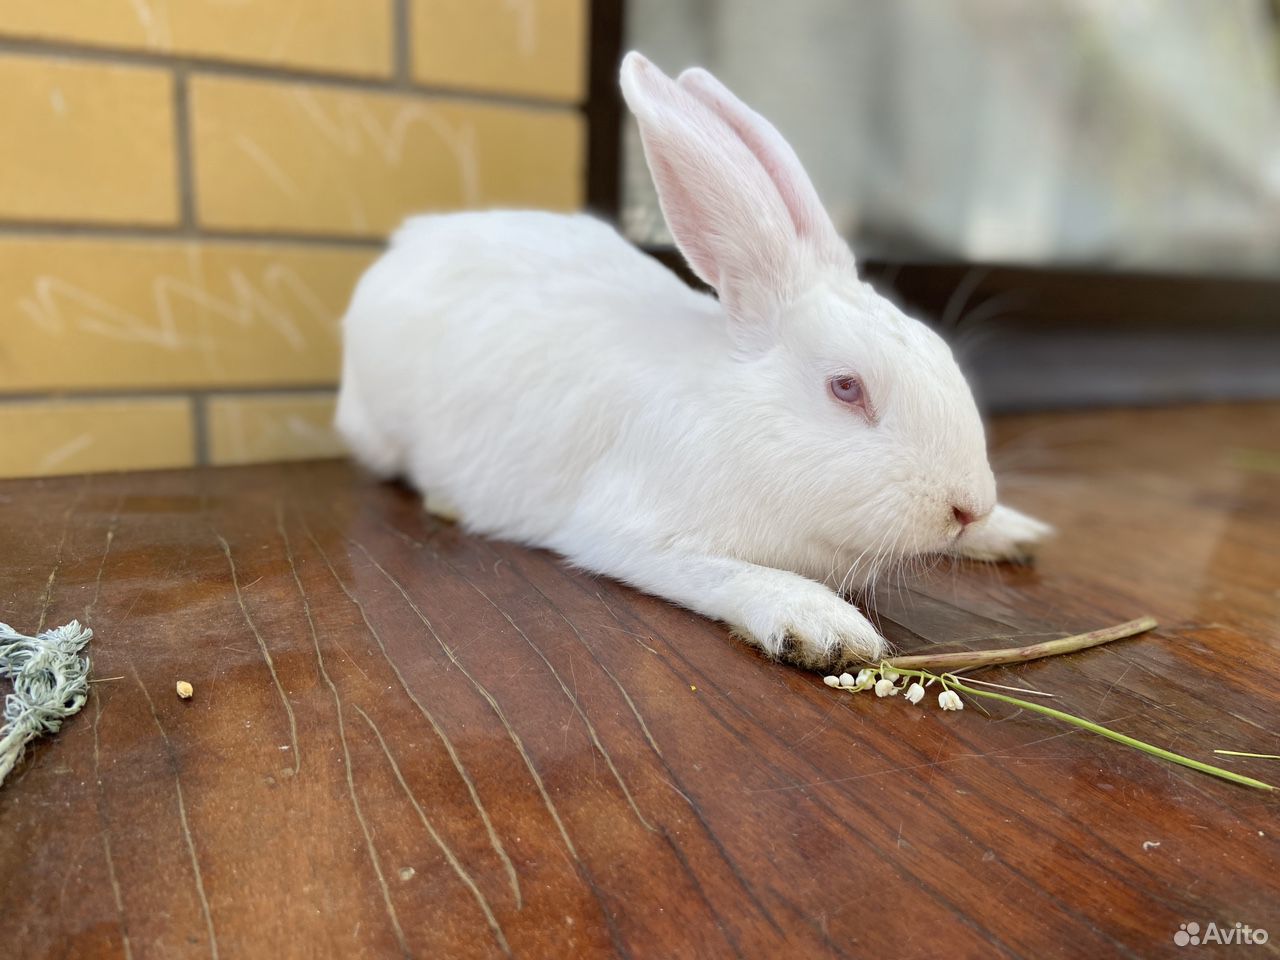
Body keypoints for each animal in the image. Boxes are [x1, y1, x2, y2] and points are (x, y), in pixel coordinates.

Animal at [340, 50, 1049, 670]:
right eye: (846, 388)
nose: (968, 507)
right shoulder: (633, 533)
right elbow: (727, 573)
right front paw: (822, 627)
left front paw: (1012, 531)